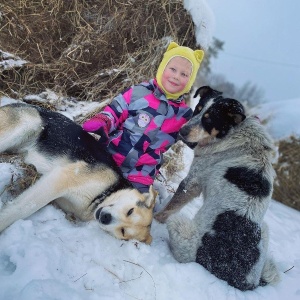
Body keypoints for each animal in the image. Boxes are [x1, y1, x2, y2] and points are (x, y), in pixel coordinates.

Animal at [0, 103, 155, 244]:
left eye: (123, 231)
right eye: (130, 211)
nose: (105, 218)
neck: (99, 197)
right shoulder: (62, 179)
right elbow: (23, 208)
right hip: (27, 125)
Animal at [156, 86, 280, 290]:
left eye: (209, 119)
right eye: (197, 109)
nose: (182, 131)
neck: (232, 133)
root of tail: (240, 281)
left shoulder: (191, 182)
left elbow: (168, 209)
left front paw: (154, 216)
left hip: (181, 227)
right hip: (265, 228)